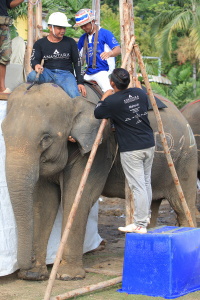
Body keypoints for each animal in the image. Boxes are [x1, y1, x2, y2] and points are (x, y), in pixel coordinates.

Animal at [1, 82, 198, 282]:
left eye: (46, 138)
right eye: (3, 133)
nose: (29, 262)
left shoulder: (97, 149)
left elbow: (77, 198)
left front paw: (68, 276)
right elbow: (44, 203)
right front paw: (33, 275)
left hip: (185, 159)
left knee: (183, 205)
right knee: (153, 202)